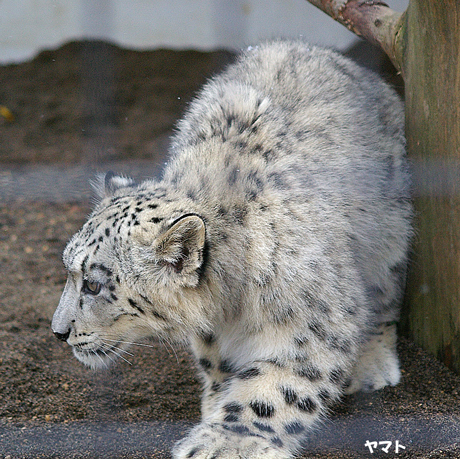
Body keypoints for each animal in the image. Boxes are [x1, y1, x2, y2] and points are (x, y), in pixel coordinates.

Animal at [52, 40, 412, 459]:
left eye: (93, 285)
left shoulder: (315, 324)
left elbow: (278, 388)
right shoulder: (215, 333)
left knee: (385, 294)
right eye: (69, 270)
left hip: (390, 233)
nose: (58, 332)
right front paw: (216, 402)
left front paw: (225, 441)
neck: (233, 305)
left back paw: (372, 364)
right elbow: (218, 361)